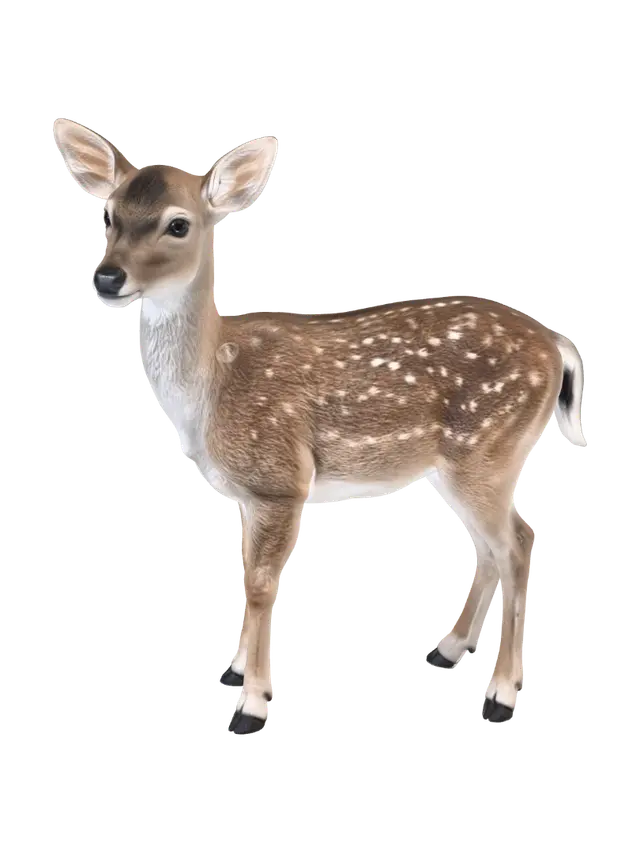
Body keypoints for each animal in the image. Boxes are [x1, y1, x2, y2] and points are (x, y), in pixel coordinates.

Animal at [53, 118, 588, 732]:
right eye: (109, 216)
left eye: (178, 224)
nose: (107, 277)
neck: (210, 389)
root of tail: (559, 348)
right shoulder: (248, 492)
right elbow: (245, 575)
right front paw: (235, 672)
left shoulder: (280, 480)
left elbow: (264, 585)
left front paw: (252, 704)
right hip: (471, 462)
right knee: (493, 544)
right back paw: (448, 650)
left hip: (486, 450)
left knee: (518, 544)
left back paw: (500, 694)